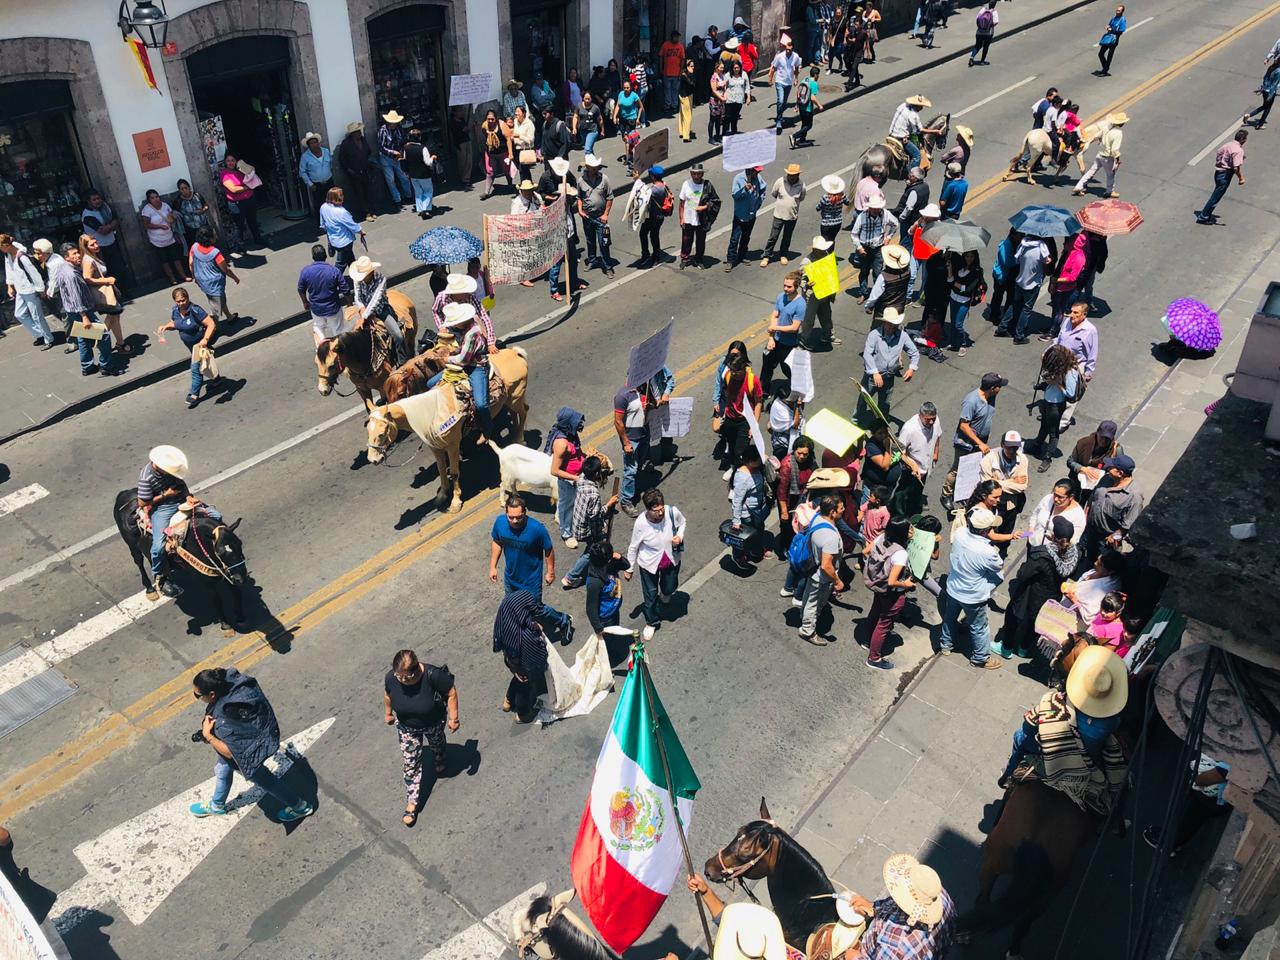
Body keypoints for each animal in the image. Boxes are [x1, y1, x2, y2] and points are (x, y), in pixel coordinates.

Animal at [113, 488, 248, 640]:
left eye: (239, 544)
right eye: (220, 552)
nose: (241, 578)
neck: (199, 542)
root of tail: (123, 494)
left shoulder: (227, 574)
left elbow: (236, 592)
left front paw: (241, 617)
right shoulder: (208, 582)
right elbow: (217, 601)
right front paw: (226, 626)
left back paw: (167, 584)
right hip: (133, 547)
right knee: (139, 563)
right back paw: (151, 590)